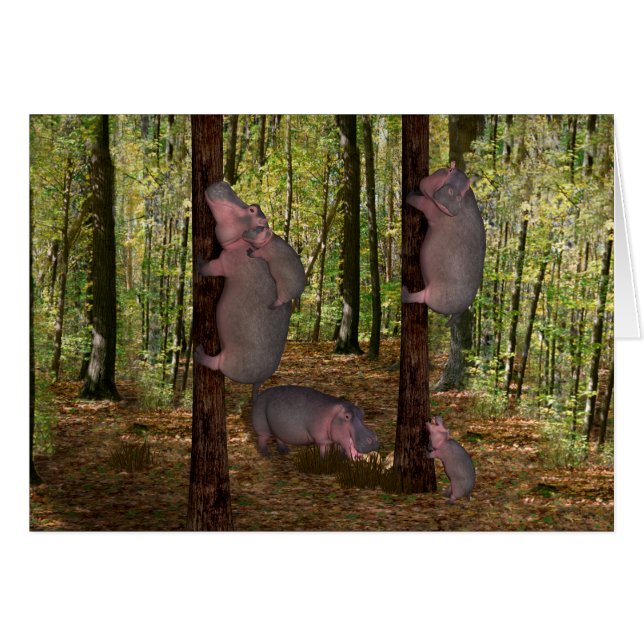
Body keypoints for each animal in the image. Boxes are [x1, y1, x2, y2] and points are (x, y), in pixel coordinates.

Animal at [194, 182, 294, 397]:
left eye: (252, 209)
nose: (223, 183)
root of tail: (261, 380)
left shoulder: (225, 261)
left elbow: (209, 268)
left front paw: (198, 261)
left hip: (230, 362)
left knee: (216, 364)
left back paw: (199, 353)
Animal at [251, 385, 380, 459]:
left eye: (362, 412)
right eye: (347, 416)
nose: (373, 439)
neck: (334, 413)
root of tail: (259, 396)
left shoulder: (338, 439)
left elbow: (340, 447)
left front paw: (340, 459)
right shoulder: (322, 439)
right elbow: (324, 449)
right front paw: (325, 461)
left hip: (279, 427)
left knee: (279, 437)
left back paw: (285, 451)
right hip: (262, 426)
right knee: (262, 439)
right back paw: (267, 455)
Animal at [403, 161, 486, 326]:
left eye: (465, 188)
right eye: (449, 170)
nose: (452, 195)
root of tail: (461, 310)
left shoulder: (429, 206)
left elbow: (416, 201)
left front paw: (411, 193)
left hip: (434, 297)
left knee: (419, 297)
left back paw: (403, 292)